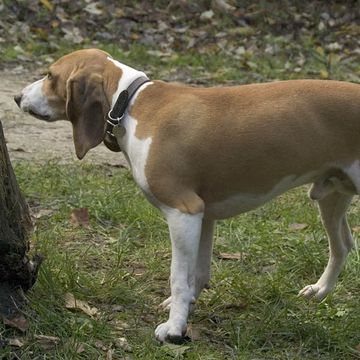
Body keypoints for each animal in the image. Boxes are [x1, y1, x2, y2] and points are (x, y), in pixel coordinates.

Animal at [14, 48, 360, 344]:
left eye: (49, 75)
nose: (17, 96)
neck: (131, 103)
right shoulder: (204, 216)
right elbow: (198, 272)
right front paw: (185, 310)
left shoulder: (184, 212)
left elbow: (179, 277)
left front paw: (174, 328)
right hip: (331, 197)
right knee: (342, 245)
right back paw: (320, 290)